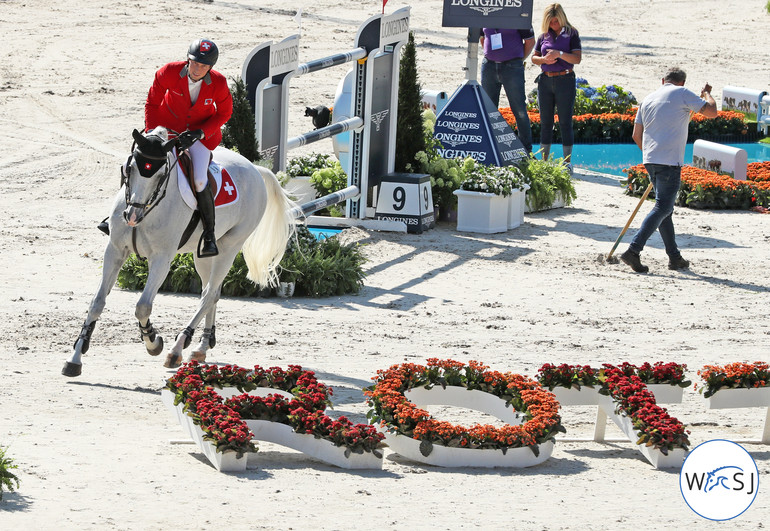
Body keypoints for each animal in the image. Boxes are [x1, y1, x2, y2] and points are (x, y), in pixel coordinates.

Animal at [63, 127, 294, 376]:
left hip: (230, 246)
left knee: (209, 294)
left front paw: (153, 342)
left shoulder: (161, 259)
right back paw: (201, 347)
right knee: (211, 292)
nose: (132, 216)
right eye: (130, 167)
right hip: (203, 254)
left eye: (161, 175)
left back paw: (177, 349)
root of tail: (255, 168)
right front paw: (75, 358)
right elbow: (97, 302)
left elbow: (143, 306)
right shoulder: (115, 250)